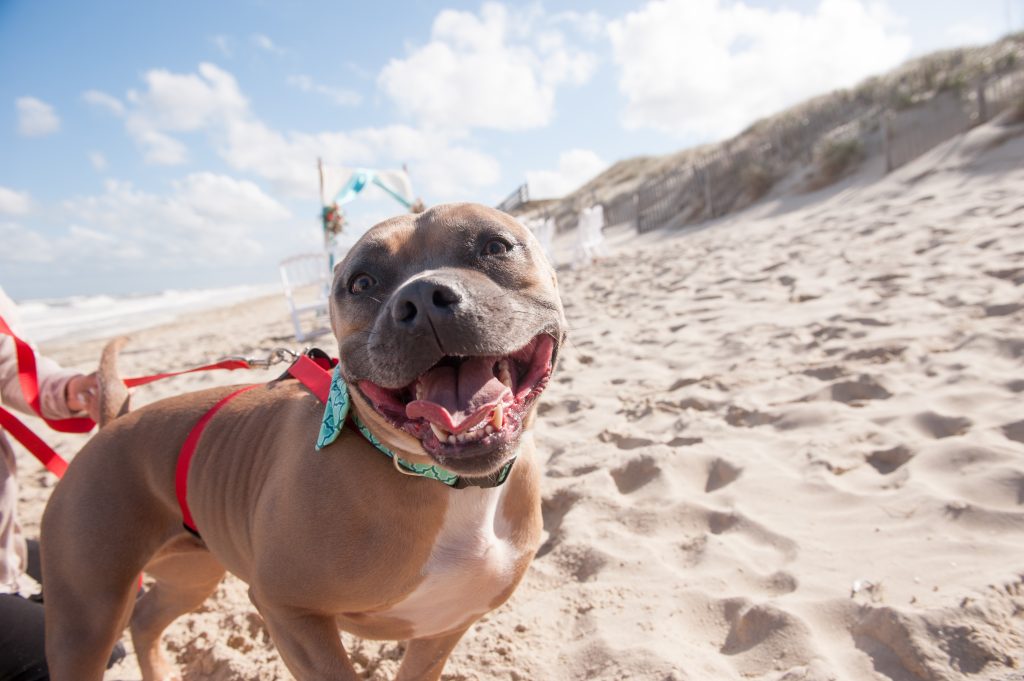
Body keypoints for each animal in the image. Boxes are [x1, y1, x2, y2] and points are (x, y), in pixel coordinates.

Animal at [41, 202, 569, 679]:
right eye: (361, 283)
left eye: (494, 246)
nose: (421, 297)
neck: (441, 479)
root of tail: (112, 424)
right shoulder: (289, 612)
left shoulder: (445, 625)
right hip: (86, 619)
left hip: (189, 576)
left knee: (147, 619)